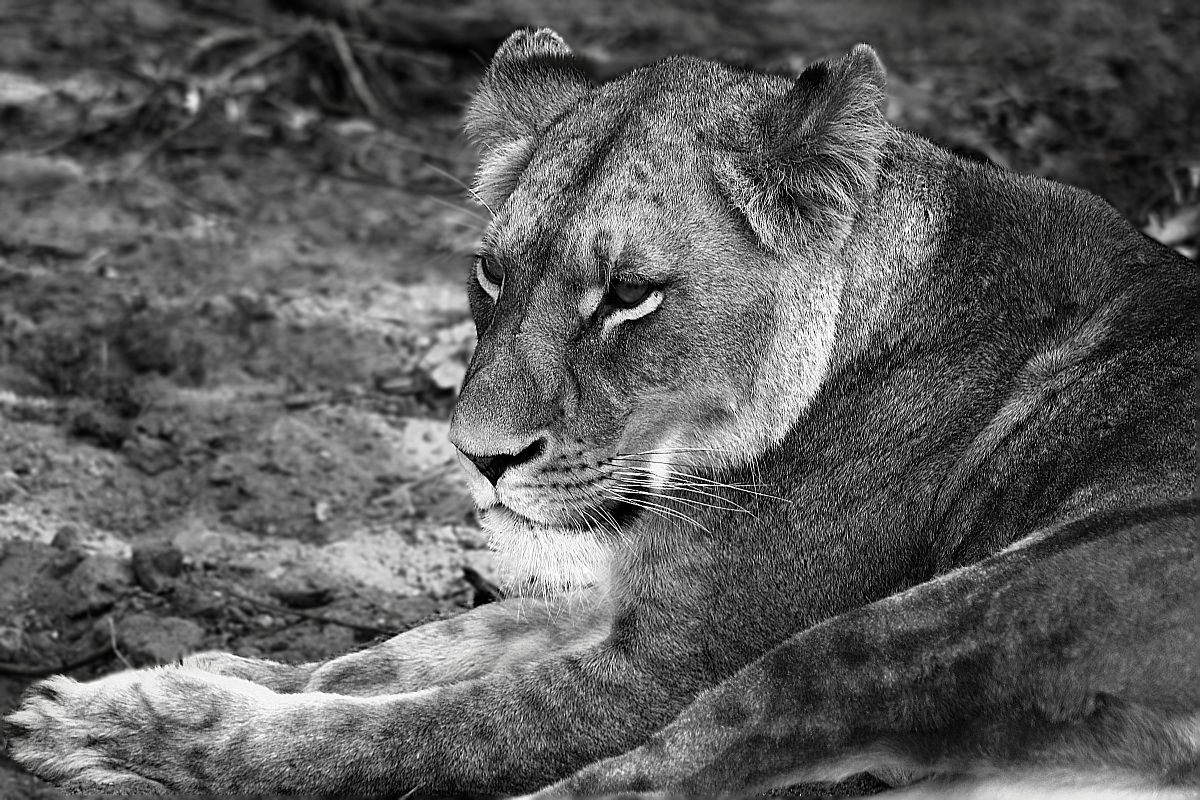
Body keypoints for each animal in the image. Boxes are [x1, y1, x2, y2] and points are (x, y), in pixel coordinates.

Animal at [4, 28, 1198, 799]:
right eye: (491, 272)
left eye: (628, 293)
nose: (478, 456)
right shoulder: (631, 599)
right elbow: (413, 649)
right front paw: (208, 671)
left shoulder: (673, 661)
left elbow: (419, 731)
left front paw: (123, 715)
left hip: (911, 624)